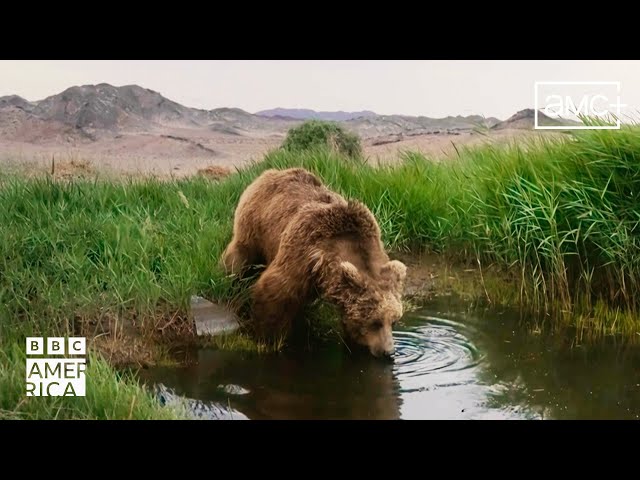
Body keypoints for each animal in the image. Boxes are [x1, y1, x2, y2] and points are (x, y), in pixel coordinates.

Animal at [222, 167, 408, 358]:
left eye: (394, 320)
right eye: (376, 322)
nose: (388, 351)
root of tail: (274, 171)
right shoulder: (303, 255)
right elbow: (276, 293)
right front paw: (268, 340)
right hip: (255, 224)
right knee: (240, 255)